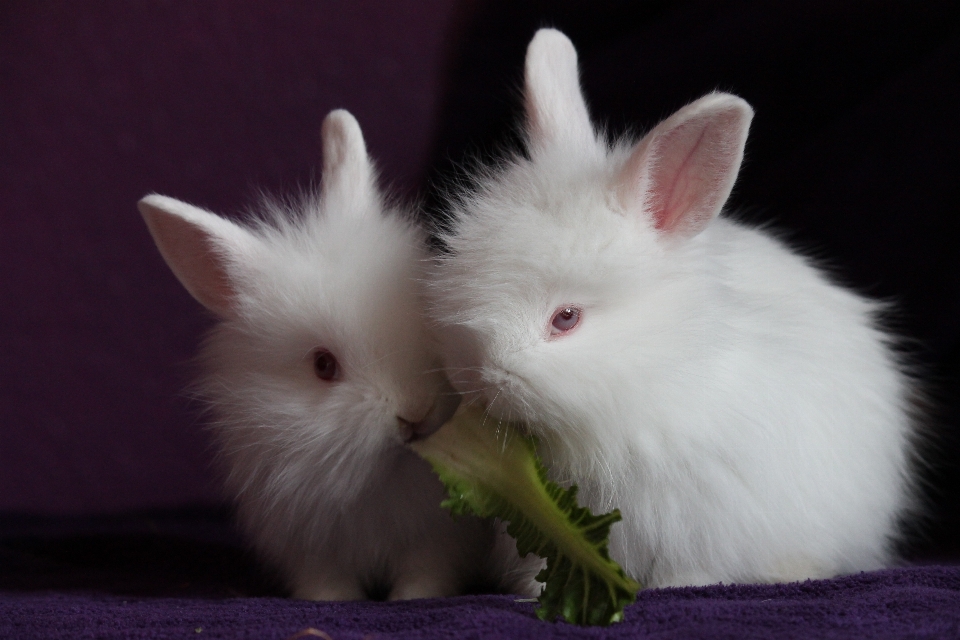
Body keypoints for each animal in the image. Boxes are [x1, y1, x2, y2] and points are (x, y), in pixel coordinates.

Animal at [140, 109, 510, 600]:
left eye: (426, 324)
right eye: (323, 366)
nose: (415, 414)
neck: (377, 480)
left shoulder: (438, 541)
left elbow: (425, 574)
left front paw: (413, 598)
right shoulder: (308, 546)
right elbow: (327, 582)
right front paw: (335, 600)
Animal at [430, 31, 924, 592]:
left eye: (566, 318)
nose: (482, 382)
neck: (653, 377)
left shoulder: (700, 519)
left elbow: (691, 564)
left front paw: (680, 586)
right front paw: (527, 593)